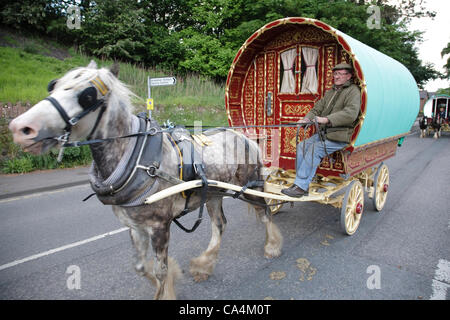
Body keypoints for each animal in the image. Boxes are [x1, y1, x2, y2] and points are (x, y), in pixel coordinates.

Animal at [8, 62, 282, 300]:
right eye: (53, 85)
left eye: (87, 94)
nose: (21, 128)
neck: (137, 159)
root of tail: (244, 137)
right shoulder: (135, 225)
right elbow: (141, 267)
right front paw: (167, 278)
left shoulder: (160, 226)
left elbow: (160, 270)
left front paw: (165, 288)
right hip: (214, 193)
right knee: (220, 225)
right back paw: (203, 265)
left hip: (249, 186)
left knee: (265, 211)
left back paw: (272, 246)